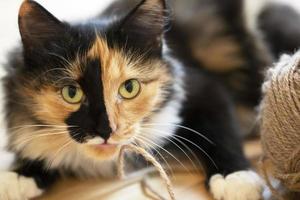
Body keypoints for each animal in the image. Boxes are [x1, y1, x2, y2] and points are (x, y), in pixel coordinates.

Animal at [1, 0, 300, 199]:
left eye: (129, 88)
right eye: (71, 93)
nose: (105, 130)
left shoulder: (206, 88)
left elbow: (222, 133)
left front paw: (234, 177)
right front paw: (21, 174)